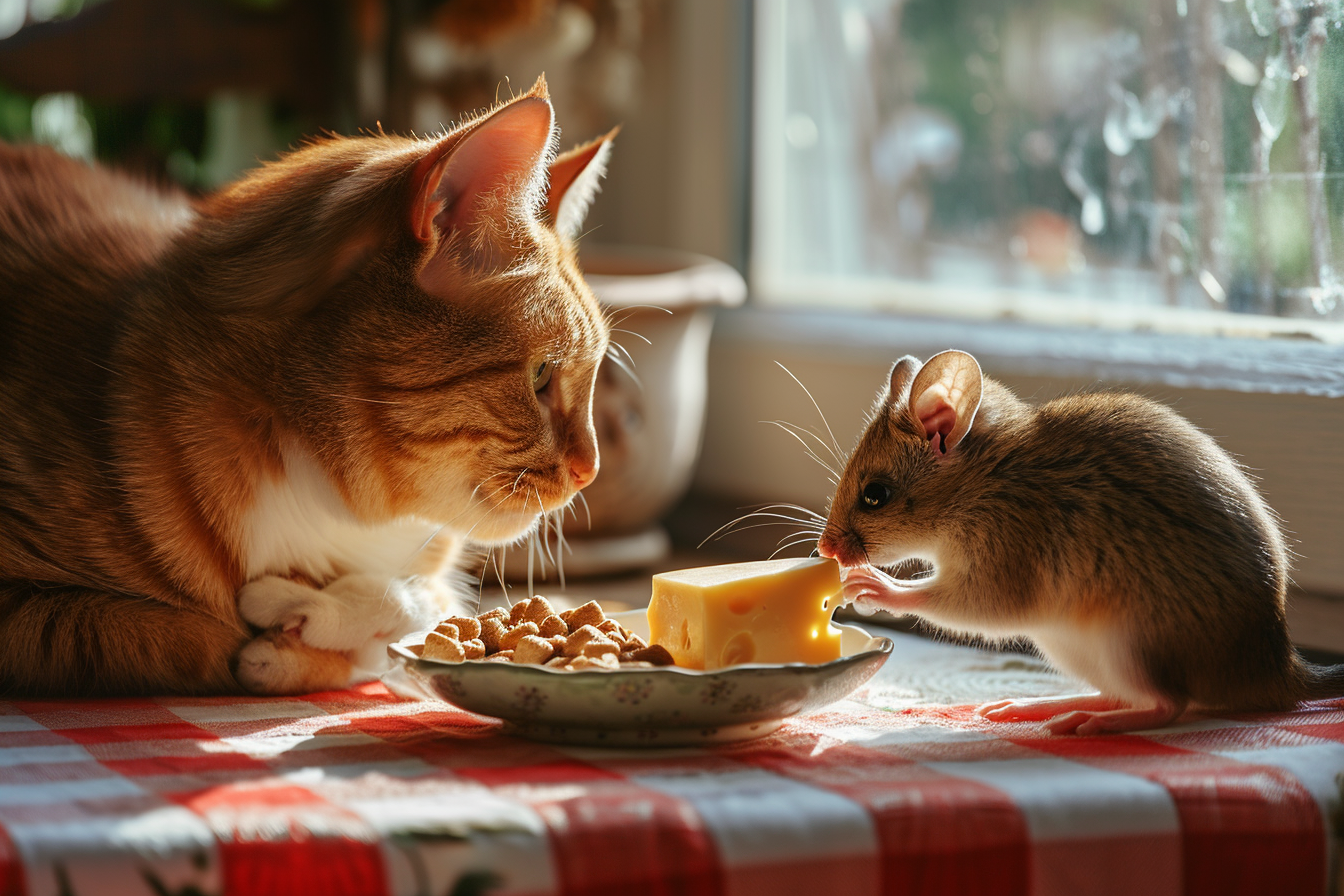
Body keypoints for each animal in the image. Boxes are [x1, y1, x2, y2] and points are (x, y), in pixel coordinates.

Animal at [0, 77, 615, 698]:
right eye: (541, 376)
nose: (590, 472)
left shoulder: (432, 585)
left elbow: (416, 610)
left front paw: (307, 617)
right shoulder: (38, 612)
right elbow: (210, 637)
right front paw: (293, 624)